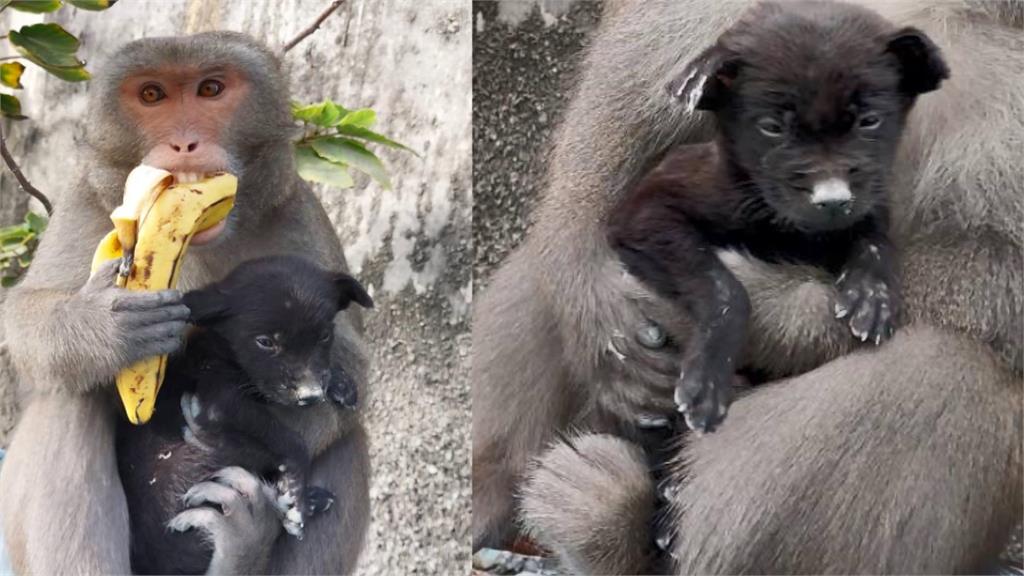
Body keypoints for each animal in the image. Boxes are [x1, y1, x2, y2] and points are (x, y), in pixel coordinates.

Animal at [117, 255, 372, 573]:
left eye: (325, 335)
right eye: (265, 342)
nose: (310, 396)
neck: (220, 347)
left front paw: (338, 382)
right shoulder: (217, 401)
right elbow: (292, 441)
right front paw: (295, 487)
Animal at [602, 0, 946, 430]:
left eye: (870, 121)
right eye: (771, 127)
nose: (832, 199)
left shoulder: (869, 204)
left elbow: (874, 236)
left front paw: (872, 293)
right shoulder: (646, 211)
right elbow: (724, 287)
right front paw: (708, 382)